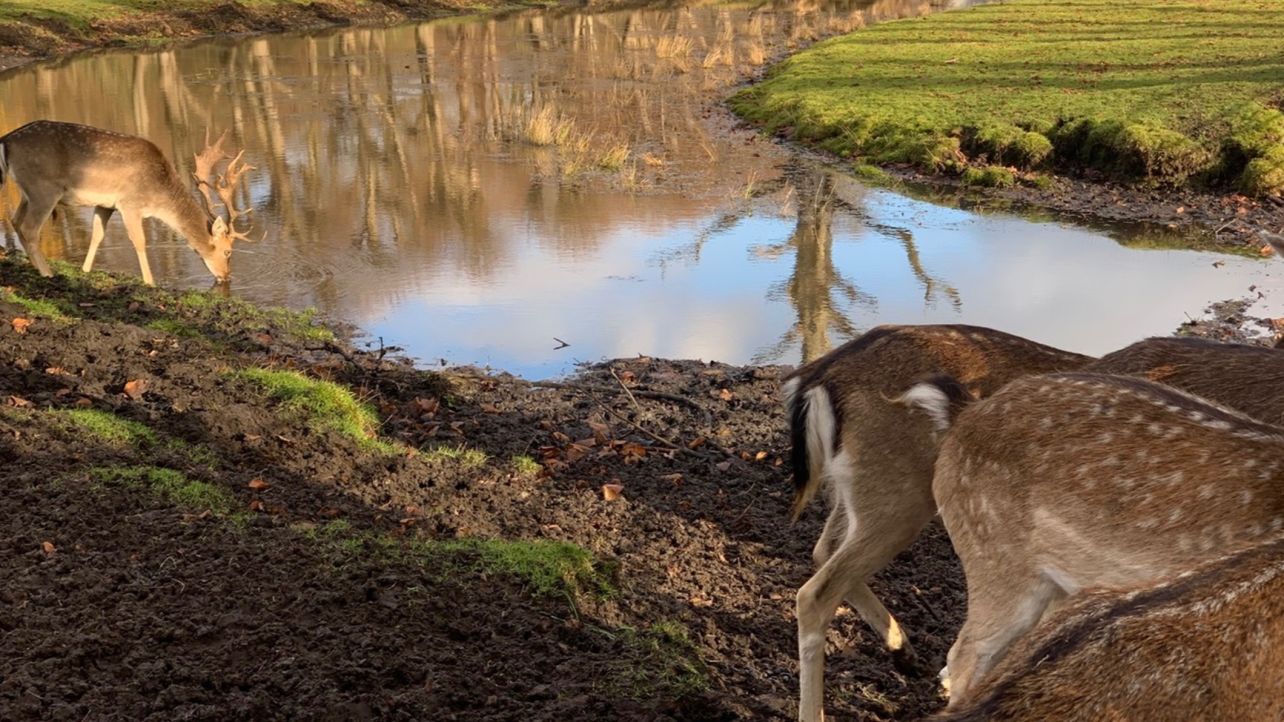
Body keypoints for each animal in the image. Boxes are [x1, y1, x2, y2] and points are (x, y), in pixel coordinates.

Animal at [0, 118, 258, 283]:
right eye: (228, 251)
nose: (226, 277)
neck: (159, 194)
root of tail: (6, 141)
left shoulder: (105, 205)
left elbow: (97, 236)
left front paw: (85, 271)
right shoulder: (130, 203)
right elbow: (140, 241)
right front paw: (150, 282)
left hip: (28, 192)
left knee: (16, 221)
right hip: (44, 189)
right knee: (29, 228)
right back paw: (48, 274)